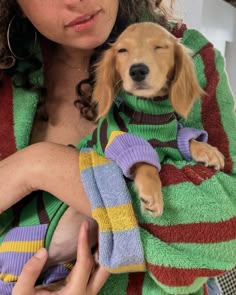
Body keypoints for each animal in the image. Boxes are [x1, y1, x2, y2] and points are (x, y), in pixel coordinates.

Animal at [91, 22, 225, 217]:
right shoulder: (119, 140)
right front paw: (152, 191)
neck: (151, 113)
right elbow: (146, 163)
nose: (137, 70)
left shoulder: (173, 138)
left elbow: (187, 140)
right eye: (122, 50)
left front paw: (207, 150)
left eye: (160, 47)